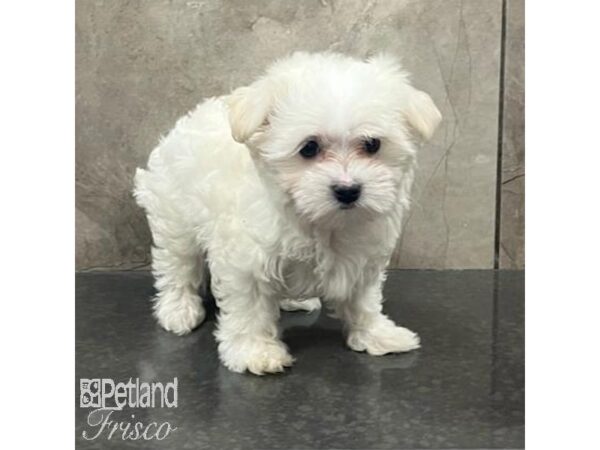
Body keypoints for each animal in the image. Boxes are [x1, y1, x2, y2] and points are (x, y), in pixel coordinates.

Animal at [135, 51, 440, 376]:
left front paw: (377, 334)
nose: (348, 190)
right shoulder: (245, 262)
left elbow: (363, 300)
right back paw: (177, 309)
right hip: (174, 215)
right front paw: (254, 352)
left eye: (372, 144)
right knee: (177, 264)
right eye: (309, 148)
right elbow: (250, 307)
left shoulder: (362, 256)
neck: (321, 222)